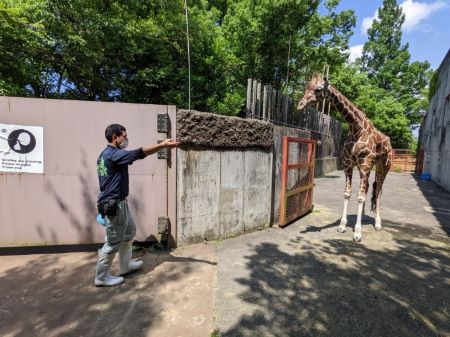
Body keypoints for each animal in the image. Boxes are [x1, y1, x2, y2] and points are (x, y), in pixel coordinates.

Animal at [298, 73, 392, 242]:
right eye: (306, 86)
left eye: (319, 89)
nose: (300, 105)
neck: (356, 128)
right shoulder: (348, 164)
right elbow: (348, 193)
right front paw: (342, 226)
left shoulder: (365, 164)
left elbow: (360, 196)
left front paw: (357, 233)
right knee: (369, 188)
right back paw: (362, 217)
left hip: (384, 166)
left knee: (379, 191)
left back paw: (378, 224)